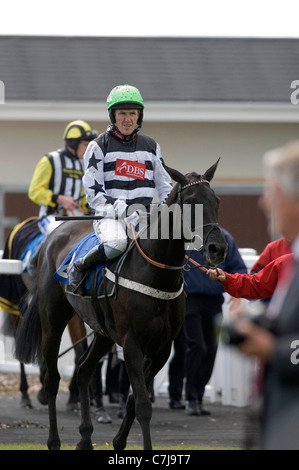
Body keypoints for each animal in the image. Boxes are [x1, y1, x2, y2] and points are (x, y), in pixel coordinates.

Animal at [15, 162, 229, 452]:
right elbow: (143, 405)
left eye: (216, 201)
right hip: (52, 321)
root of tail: (51, 238)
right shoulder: (132, 344)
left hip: (103, 332)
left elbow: (133, 400)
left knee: (83, 370)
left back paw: (85, 438)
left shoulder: (161, 349)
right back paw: (54, 441)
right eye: (190, 201)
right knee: (51, 380)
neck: (155, 273)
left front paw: (118, 441)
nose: (217, 249)